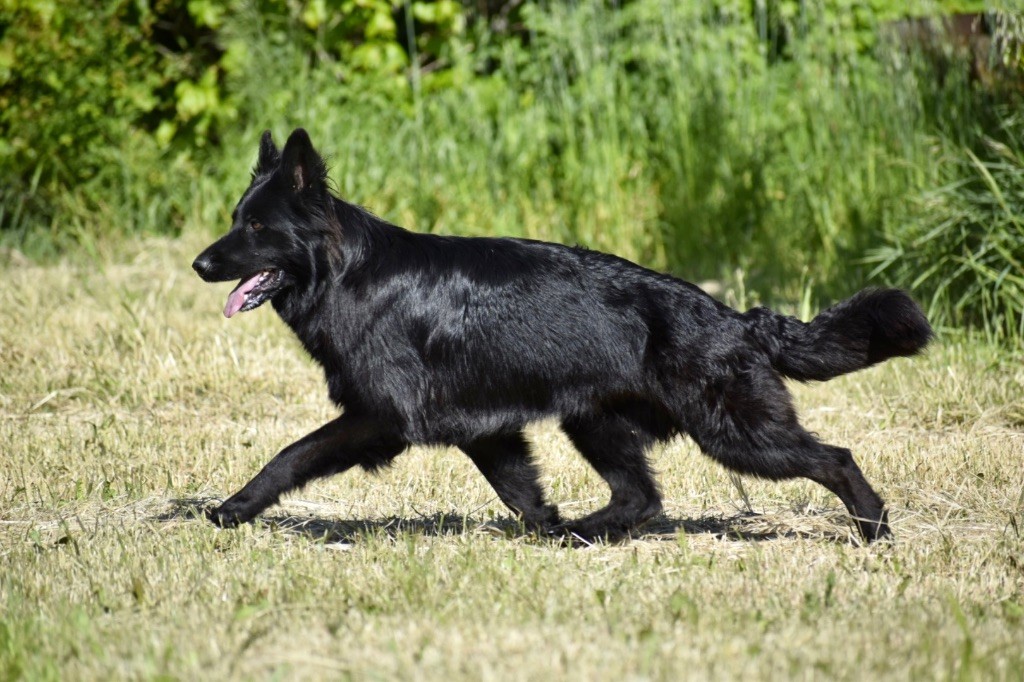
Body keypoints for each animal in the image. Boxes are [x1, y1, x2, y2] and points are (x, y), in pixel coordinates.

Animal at [188, 127, 933, 540]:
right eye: (233, 219)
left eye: (257, 228)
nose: (198, 263)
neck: (350, 275)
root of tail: (735, 319)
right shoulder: (487, 431)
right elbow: (520, 492)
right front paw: (544, 529)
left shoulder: (381, 417)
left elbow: (289, 456)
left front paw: (233, 509)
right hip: (594, 421)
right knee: (641, 497)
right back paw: (582, 534)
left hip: (736, 434)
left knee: (834, 458)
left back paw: (873, 529)